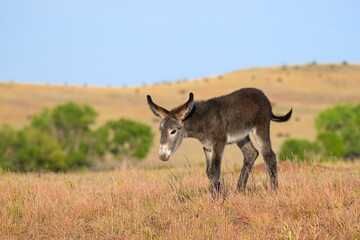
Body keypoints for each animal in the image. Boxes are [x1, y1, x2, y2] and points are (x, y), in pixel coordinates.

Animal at [146, 88, 292, 197]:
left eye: (173, 131)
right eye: (160, 130)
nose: (162, 156)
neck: (202, 121)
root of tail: (261, 94)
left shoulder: (218, 144)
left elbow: (215, 171)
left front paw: (215, 201)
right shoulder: (207, 148)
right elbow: (209, 172)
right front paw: (224, 195)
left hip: (261, 127)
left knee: (269, 155)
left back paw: (274, 192)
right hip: (241, 136)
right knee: (252, 153)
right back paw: (239, 191)